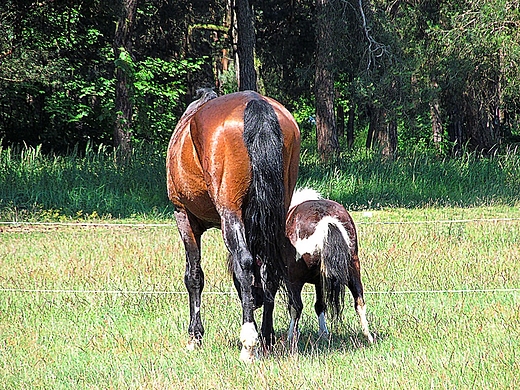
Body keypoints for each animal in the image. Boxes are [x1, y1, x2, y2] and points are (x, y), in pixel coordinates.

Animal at [167, 89, 300, 362]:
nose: (257, 300)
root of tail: (255, 102)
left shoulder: (184, 218)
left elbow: (194, 276)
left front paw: (195, 336)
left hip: (229, 213)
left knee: (245, 263)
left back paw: (248, 343)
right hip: (275, 213)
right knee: (269, 266)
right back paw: (266, 337)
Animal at [284, 187, 374, 352]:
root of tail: (327, 221)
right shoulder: (320, 281)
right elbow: (320, 305)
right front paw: (324, 333)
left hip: (295, 279)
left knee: (296, 307)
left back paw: (290, 338)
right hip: (353, 270)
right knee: (359, 301)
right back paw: (368, 337)